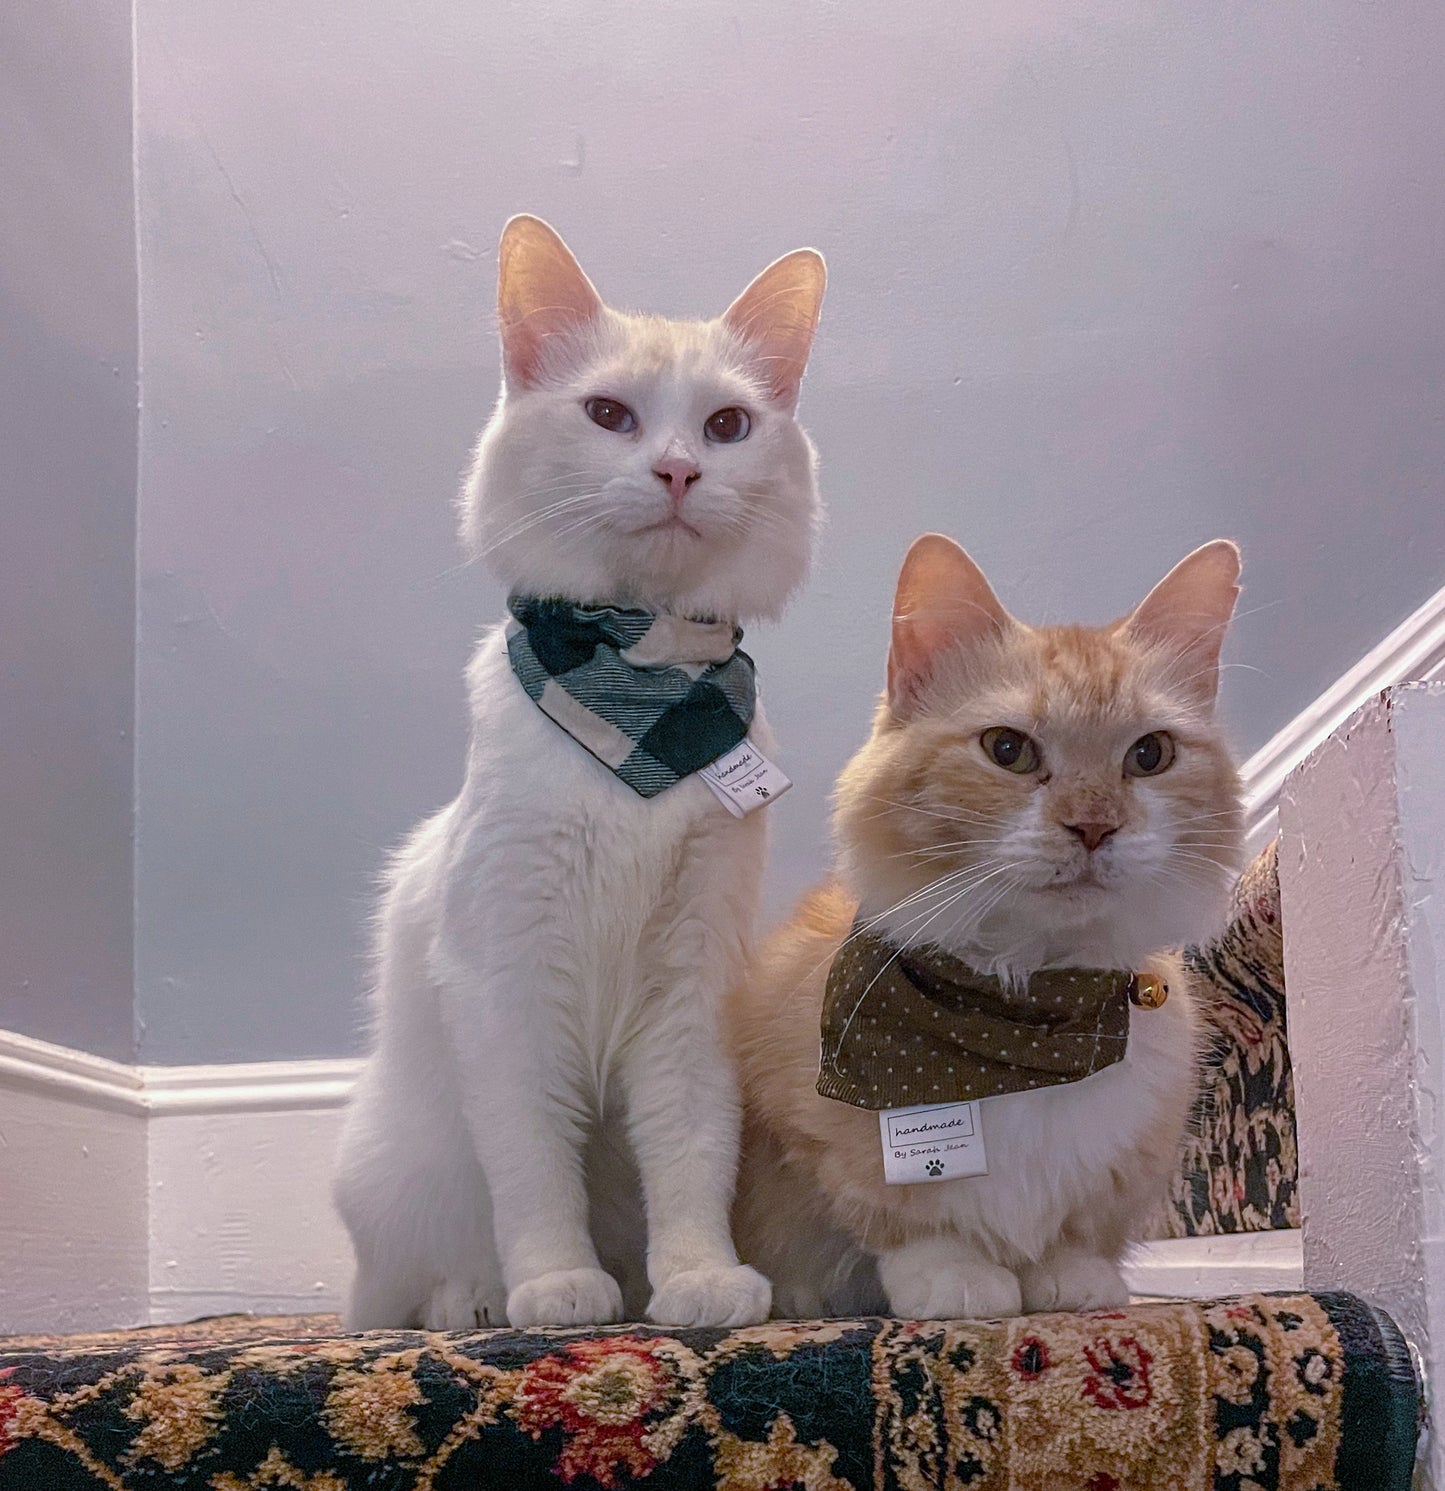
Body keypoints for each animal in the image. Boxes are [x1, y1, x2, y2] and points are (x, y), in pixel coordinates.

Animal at [329, 217, 823, 1329]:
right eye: (608, 415)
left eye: (726, 425)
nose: (679, 471)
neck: (639, 688)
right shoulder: (509, 982)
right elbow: (532, 1167)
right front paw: (557, 1288)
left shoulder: (691, 984)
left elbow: (689, 1153)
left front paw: (696, 1282)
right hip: (397, 1168)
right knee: (424, 1280)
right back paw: (476, 1303)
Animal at [733, 533, 1240, 1318]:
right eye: (1008, 750)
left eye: (1149, 755)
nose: (1093, 826)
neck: (1024, 1016)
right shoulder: (818, 1142)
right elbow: (911, 1228)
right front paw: (958, 1282)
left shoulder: (1131, 1157)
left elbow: (1077, 1235)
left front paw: (1071, 1284)